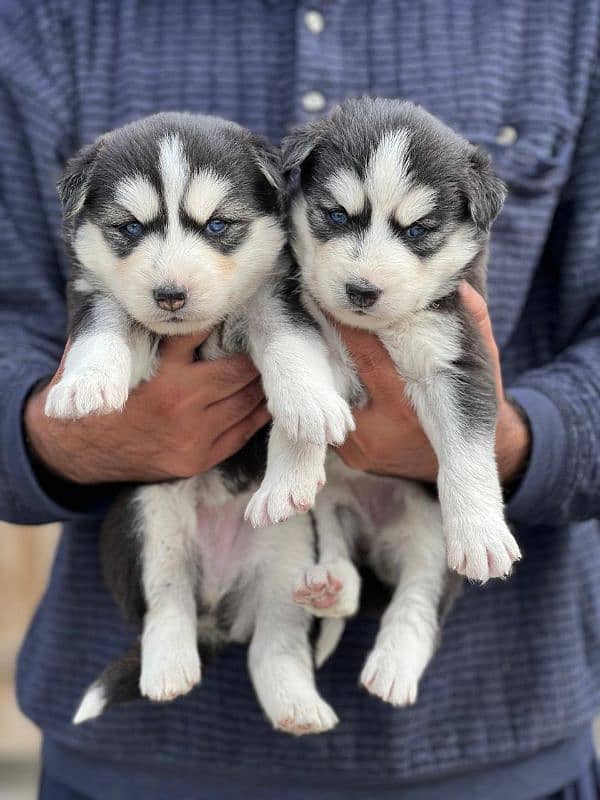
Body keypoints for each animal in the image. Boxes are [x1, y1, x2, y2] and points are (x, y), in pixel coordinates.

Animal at [49, 114, 356, 736]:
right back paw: (169, 667)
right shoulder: (93, 291)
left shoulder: (278, 293)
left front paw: (309, 402)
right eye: (129, 228)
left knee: (276, 644)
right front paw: (86, 383)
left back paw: (297, 704)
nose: (170, 296)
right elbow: (105, 324)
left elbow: (289, 344)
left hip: (290, 547)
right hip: (147, 519)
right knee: (167, 603)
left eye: (218, 225)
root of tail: (217, 606)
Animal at [251, 98, 524, 708]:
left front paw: (483, 530)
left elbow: (467, 455)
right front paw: (285, 474)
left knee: (417, 600)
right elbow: (300, 400)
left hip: (429, 538)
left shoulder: (460, 359)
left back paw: (395, 664)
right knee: (340, 558)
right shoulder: (313, 330)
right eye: (335, 215)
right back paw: (329, 584)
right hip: (329, 511)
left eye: (418, 229)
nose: (361, 290)